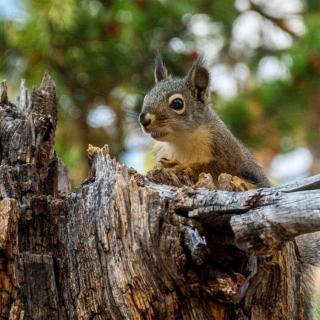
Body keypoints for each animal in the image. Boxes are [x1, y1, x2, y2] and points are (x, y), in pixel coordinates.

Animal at [139, 53, 270, 190]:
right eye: (146, 98)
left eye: (177, 103)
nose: (143, 119)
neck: (181, 141)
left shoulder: (226, 151)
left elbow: (215, 168)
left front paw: (181, 166)